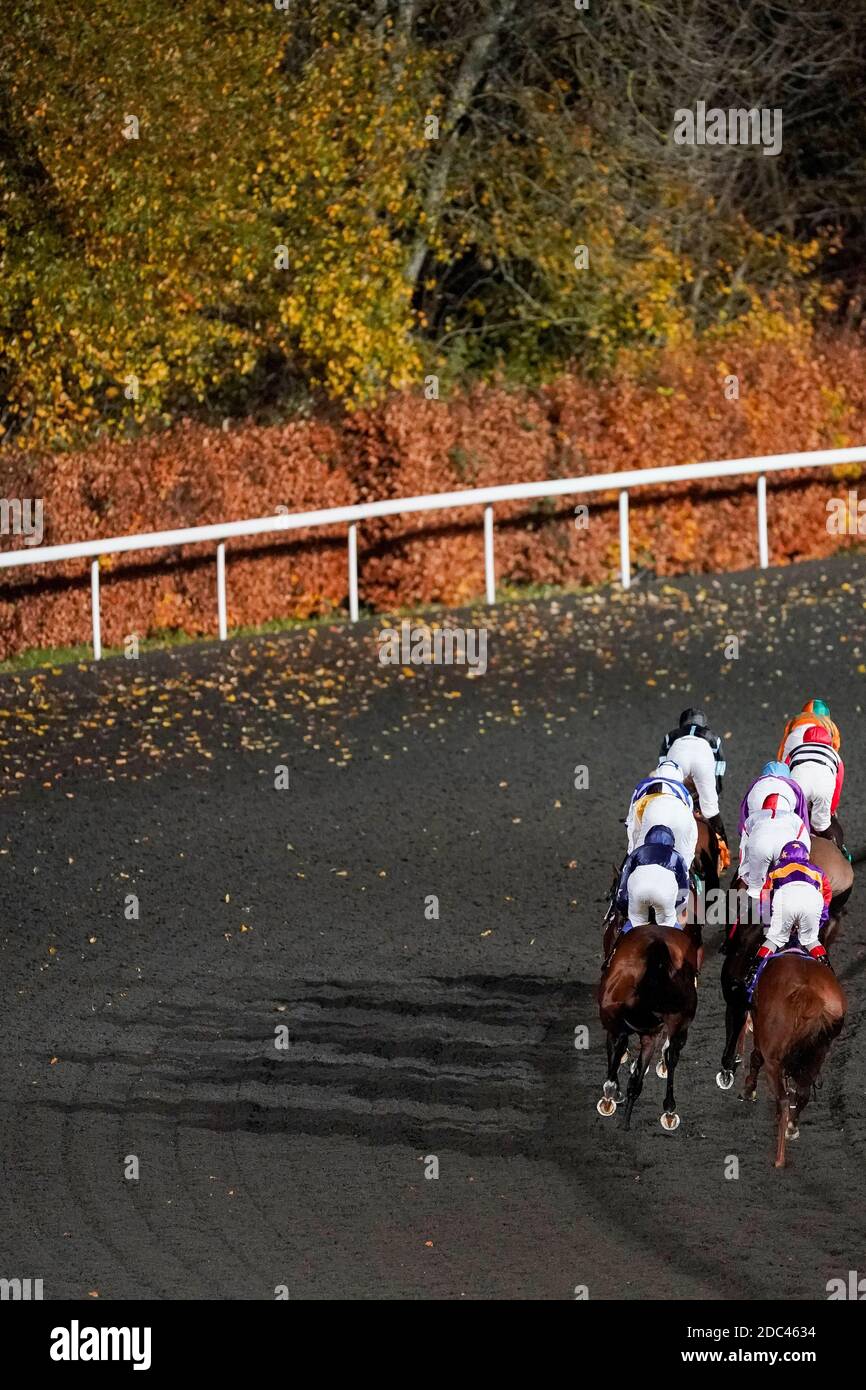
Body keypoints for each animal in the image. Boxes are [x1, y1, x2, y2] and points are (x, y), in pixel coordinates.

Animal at [745, 950, 845, 1167]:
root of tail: (807, 992)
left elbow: (755, 1058)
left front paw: (748, 1090)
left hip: (773, 1061)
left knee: (783, 1099)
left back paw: (779, 1158)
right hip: (817, 1055)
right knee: (802, 1094)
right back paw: (791, 1127)